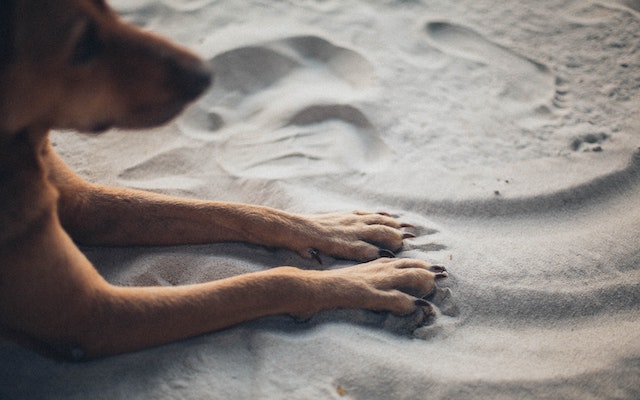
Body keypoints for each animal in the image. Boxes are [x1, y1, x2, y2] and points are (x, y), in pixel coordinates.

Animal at [0, 0, 448, 360]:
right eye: (83, 46)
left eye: (111, 10)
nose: (204, 74)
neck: (20, 142)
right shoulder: (96, 314)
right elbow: (271, 281)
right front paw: (377, 280)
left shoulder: (84, 204)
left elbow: (235, 209)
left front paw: (337, 228)